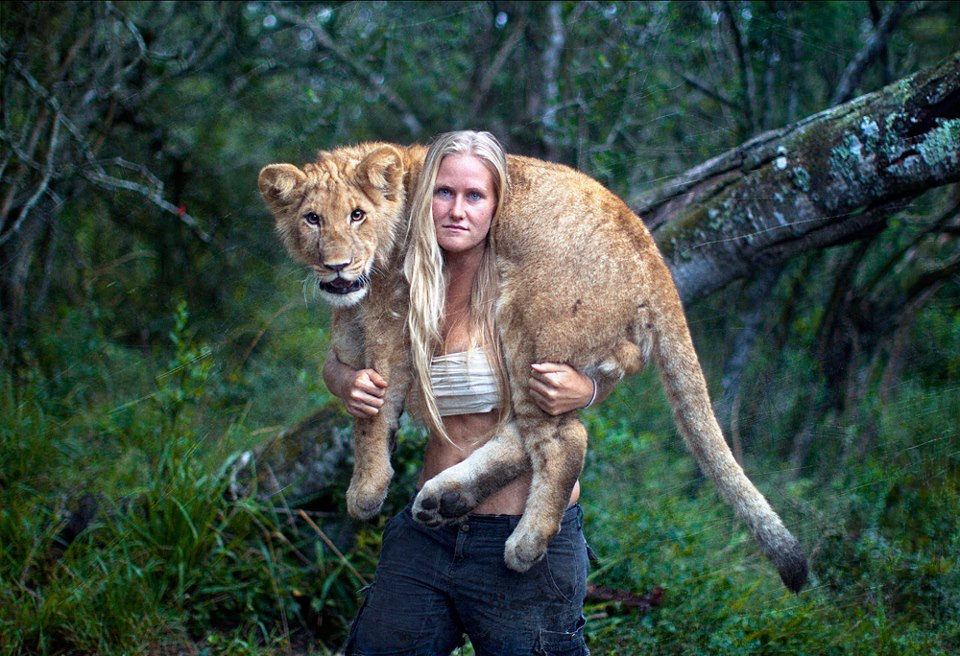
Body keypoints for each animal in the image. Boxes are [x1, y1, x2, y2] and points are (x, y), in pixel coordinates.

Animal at [258, 142, 809, 592]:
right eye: (312, 219)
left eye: (357, 215)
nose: (335, 266)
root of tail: (656, 261)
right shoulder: (354, 324)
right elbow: (350, 384)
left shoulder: (395, 321)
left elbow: (373, 413)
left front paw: (366, 491)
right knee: (524, 436)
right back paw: (446, 499)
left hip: (526, 321)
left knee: (565, 440)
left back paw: (522, 545)